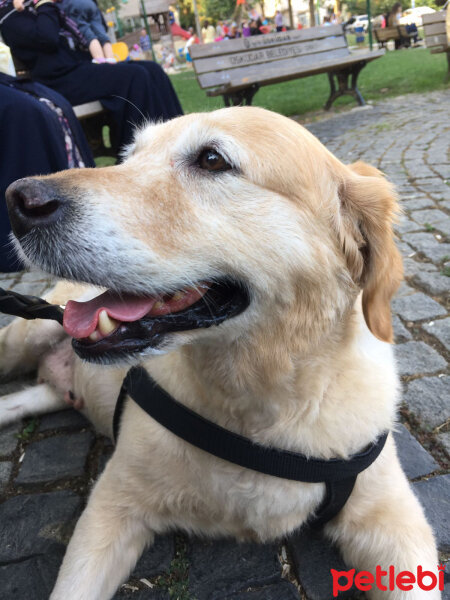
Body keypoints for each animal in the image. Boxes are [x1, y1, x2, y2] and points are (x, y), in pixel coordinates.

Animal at [0, 105, 442, 596]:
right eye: (130, 156)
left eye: (212, 159)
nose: (19, 200)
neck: (259, 398)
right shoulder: (112, 503)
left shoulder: (393, 519)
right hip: (22, 338)